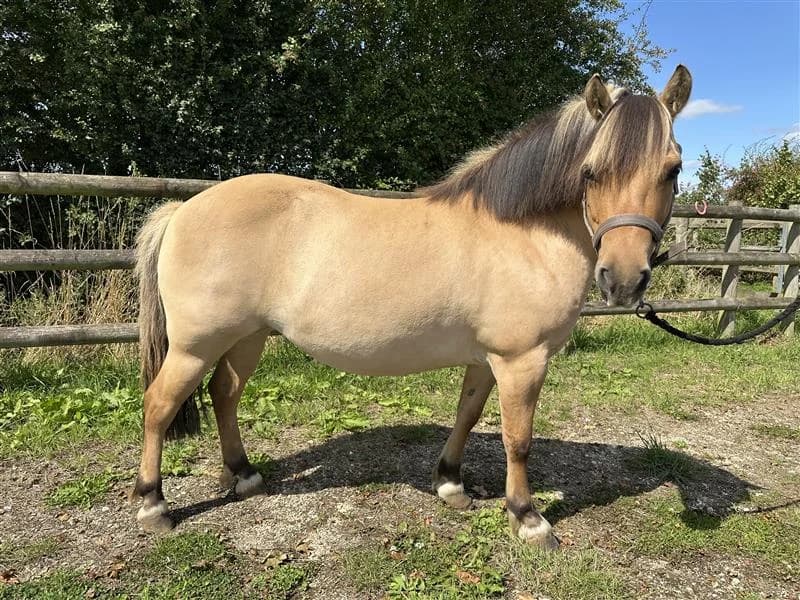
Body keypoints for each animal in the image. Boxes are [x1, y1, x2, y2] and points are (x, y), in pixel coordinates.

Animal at [131, 66, 692, 549]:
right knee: (159, 404)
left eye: (673, 169)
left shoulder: (485, 360)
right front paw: (528, 519)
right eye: (591, 172)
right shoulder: (522, 361)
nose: (623, 279)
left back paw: (244, 475)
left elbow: (468, 415)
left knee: (224, 394)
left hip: (247, 338)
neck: (522, 233)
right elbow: (518, 439)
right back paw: (153, 505)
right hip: (195, 345)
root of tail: (183, 208)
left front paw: (450, 484)